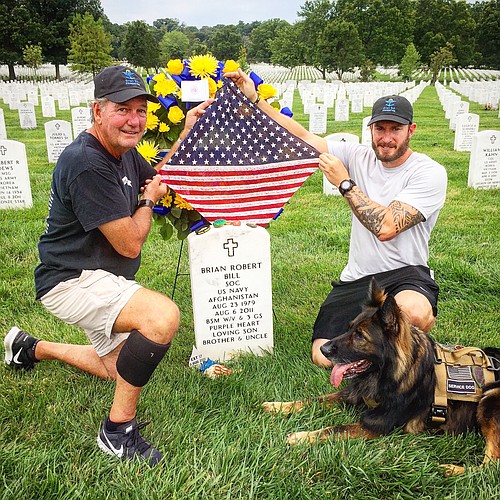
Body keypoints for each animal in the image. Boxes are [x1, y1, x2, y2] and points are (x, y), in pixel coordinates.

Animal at [262, 280, 500, 474]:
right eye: (349, 328)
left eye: (360, 336)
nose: (324, 349)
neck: (388, 373)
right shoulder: (353, 395)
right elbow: (314, 399)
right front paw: (278, 406)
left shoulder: (376, 425)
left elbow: (335, 429)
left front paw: (301, 436)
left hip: (489, 398)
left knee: (490, 466)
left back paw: (452, 469)